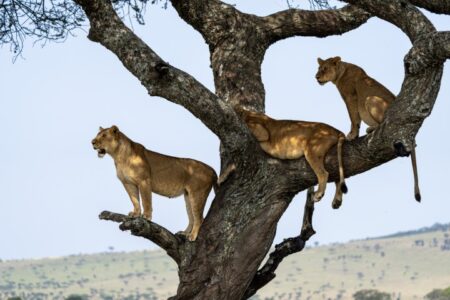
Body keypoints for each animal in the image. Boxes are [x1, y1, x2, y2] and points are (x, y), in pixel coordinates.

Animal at [316, 56, 422, 202]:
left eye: (325, 69)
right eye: (318, 69)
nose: (316, 77)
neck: (341, 73)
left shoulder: (351, 97)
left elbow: (354, 118)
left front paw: (352, 135)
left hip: (370, 99)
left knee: (382, 124)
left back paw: (370, 129)